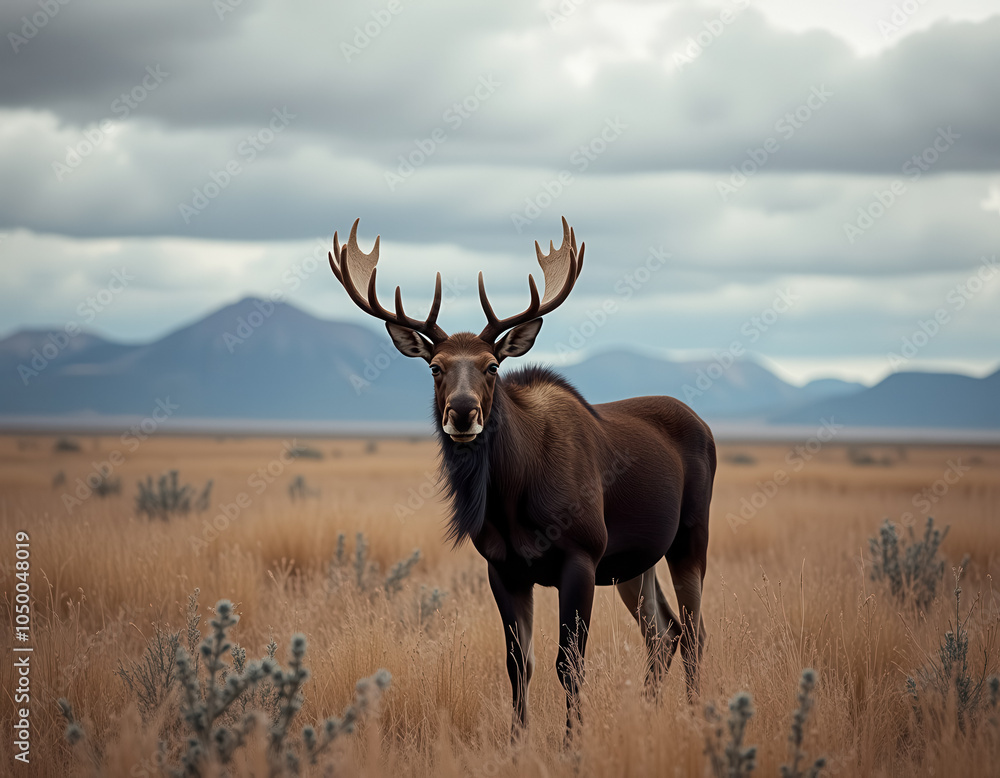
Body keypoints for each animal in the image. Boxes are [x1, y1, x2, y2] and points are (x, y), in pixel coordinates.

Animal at [330, 217, 720, 732]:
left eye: (492, 366)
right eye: (435, 367)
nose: (462, 412)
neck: (511, 499)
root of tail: (705, 426)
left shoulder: (582, 555)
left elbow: (568, 663)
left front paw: (573, 741)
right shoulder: (504, 568)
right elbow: (519, 664)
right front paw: (518, 739)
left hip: (690, 535)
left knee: (694, 630)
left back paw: (696, 715)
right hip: (635, 562)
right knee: (664, 632)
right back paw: (653, 713)